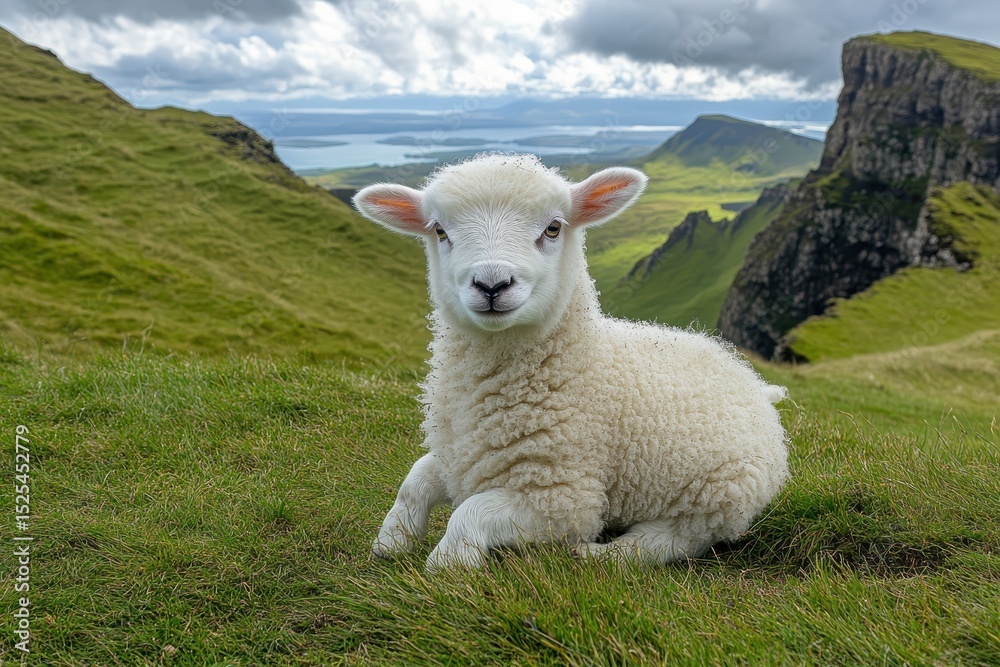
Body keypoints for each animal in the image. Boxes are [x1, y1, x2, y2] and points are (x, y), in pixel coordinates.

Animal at [353, 153, 788, 571]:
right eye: (440, 231)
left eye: (553, 228)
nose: (492, 285)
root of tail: (756, 385)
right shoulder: (461, 460)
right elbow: (414, 481)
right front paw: (391, 540)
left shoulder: (563, 499)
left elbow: (470, 512)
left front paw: (451, 560)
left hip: (721, 494)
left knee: (675, 540)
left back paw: (603, 555)